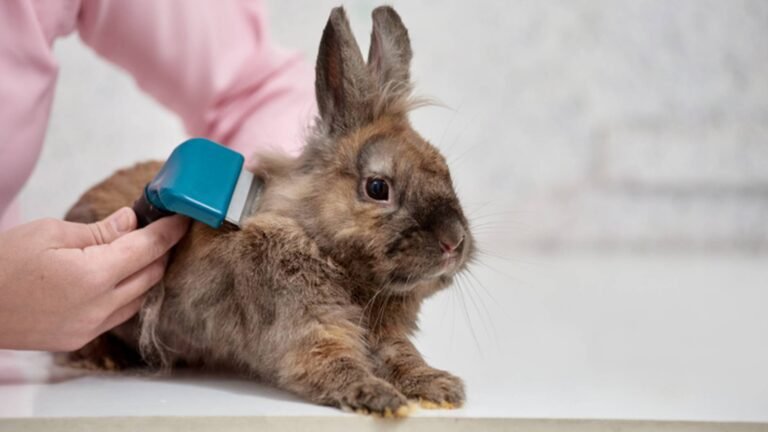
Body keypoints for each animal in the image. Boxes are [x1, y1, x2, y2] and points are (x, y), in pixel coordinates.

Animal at [64, 6, 474, 416]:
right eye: (377, 188)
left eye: (444, 169)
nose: (454, 242)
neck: (321, 245)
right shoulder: (307, 332)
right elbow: (335, 364)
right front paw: (380, 398)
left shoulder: (384, 336)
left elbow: (402, 357)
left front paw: (439, 388)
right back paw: (104, 358)